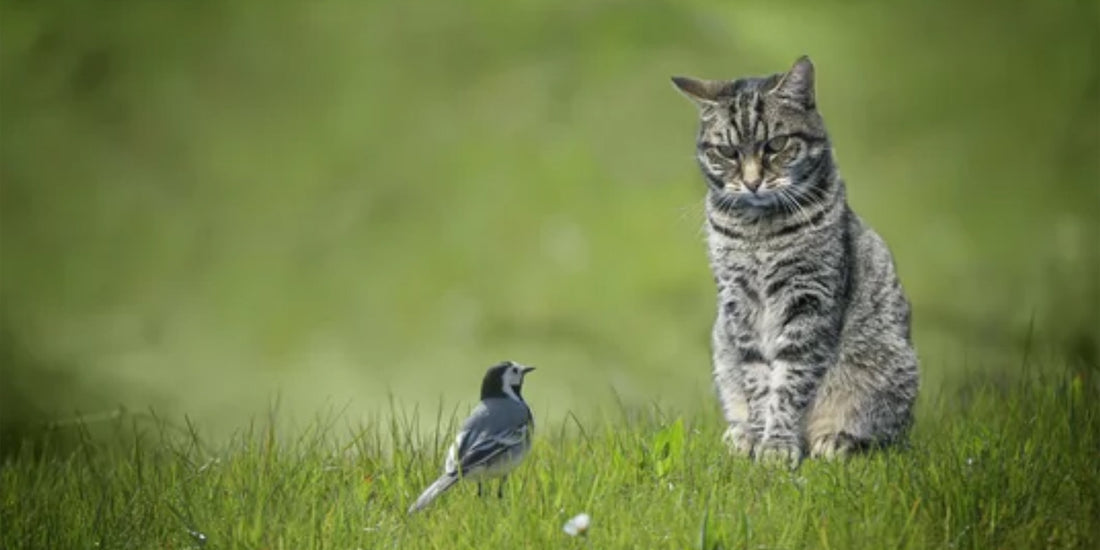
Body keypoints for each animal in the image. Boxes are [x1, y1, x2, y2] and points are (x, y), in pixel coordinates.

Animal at [668, 56, 919, 468]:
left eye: (776, 145)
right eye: (728, 152)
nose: (752, 182)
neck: (759, 230)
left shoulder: (809, 298)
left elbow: (789, 382)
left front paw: (777, 445)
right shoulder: (739, 303)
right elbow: (758, 381)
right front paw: (757, 437)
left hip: (889, 368)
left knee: (882, 435)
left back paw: (835, 440)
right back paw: (739, 434)